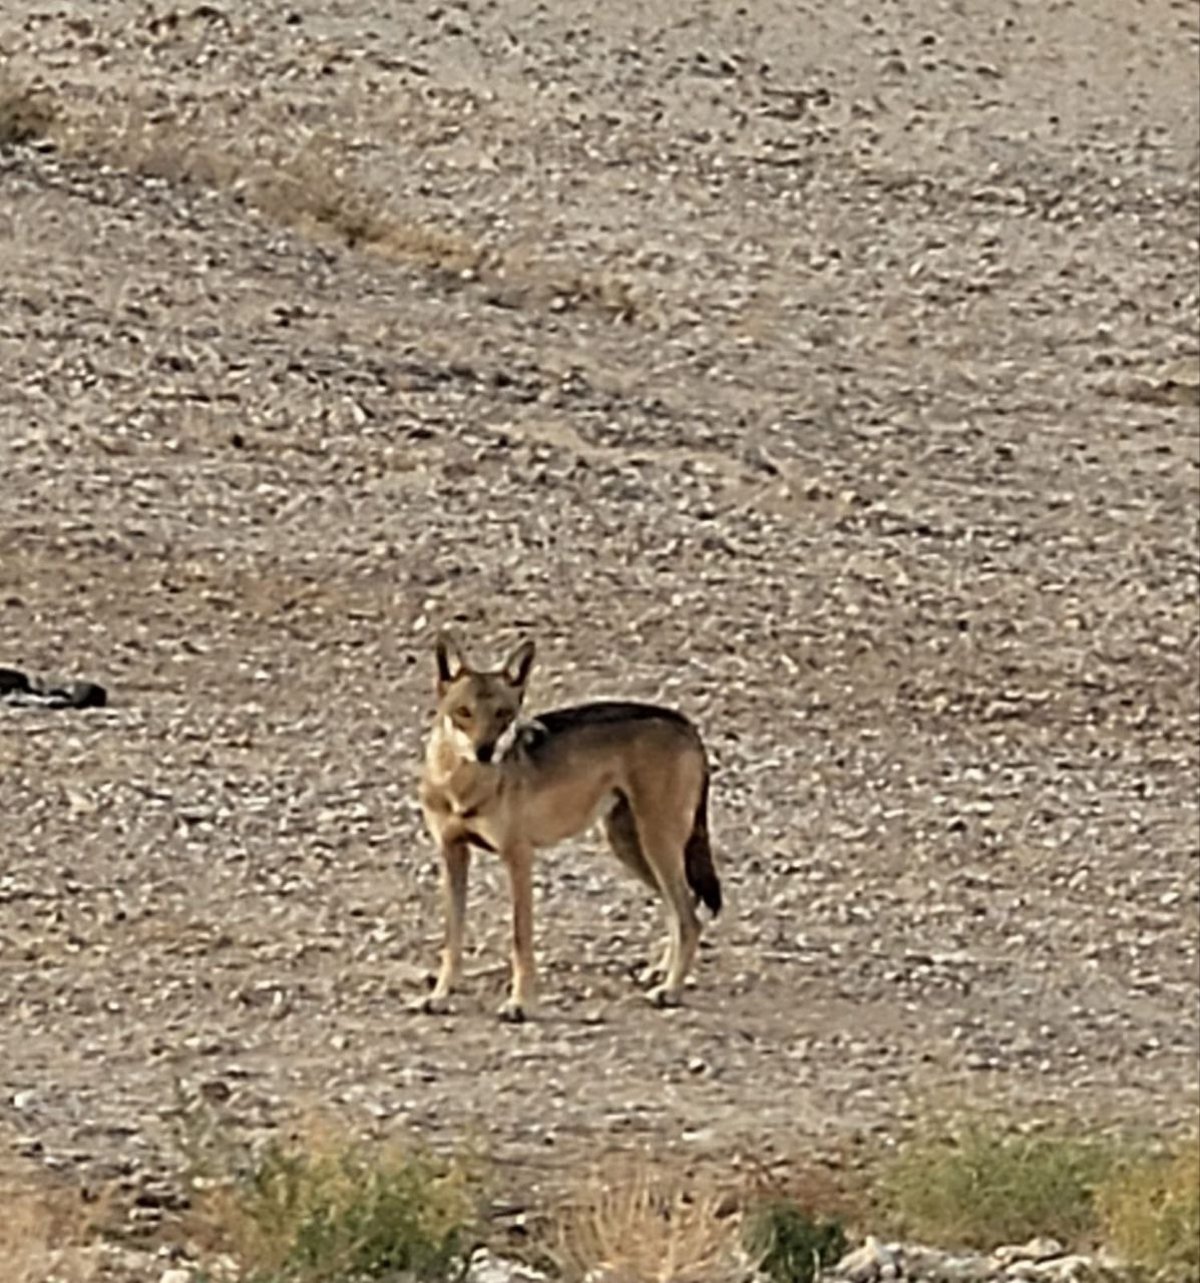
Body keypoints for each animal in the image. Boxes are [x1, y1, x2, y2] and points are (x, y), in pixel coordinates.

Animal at [418, 633, 723, 1021]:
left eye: (504, 714)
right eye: (463, 712)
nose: (484, 750)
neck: (462, 786)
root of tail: (685, 722)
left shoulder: (518, 858)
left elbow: (520, 939)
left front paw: (520, 1003)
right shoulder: (452, 854)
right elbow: (452, 938)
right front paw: (441, 995)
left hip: (656, 845)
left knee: (689, 916)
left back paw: (670, 990)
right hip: (631, 847)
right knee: (682, 907)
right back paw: (661, 973)